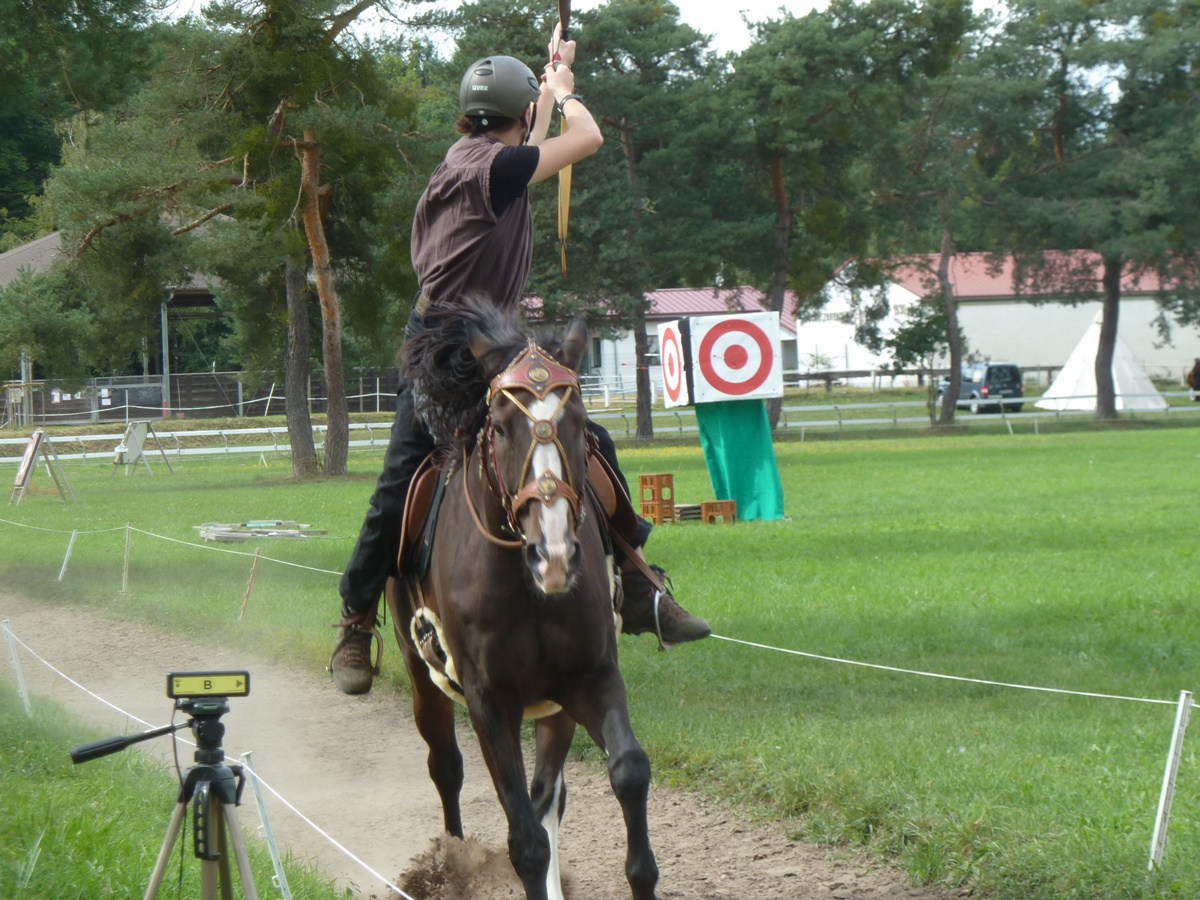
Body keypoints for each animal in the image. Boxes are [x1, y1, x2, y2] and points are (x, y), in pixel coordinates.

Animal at [384, 297, 662, 900]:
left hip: (554, 708)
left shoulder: (591, 678)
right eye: (501, 426)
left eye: (578, 423)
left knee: (548, 792)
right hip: (425, 681)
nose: (552, 554)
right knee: (447, 766)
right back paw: (452, 861)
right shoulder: (490, 702)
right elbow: (526, 842)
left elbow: (628, 770)